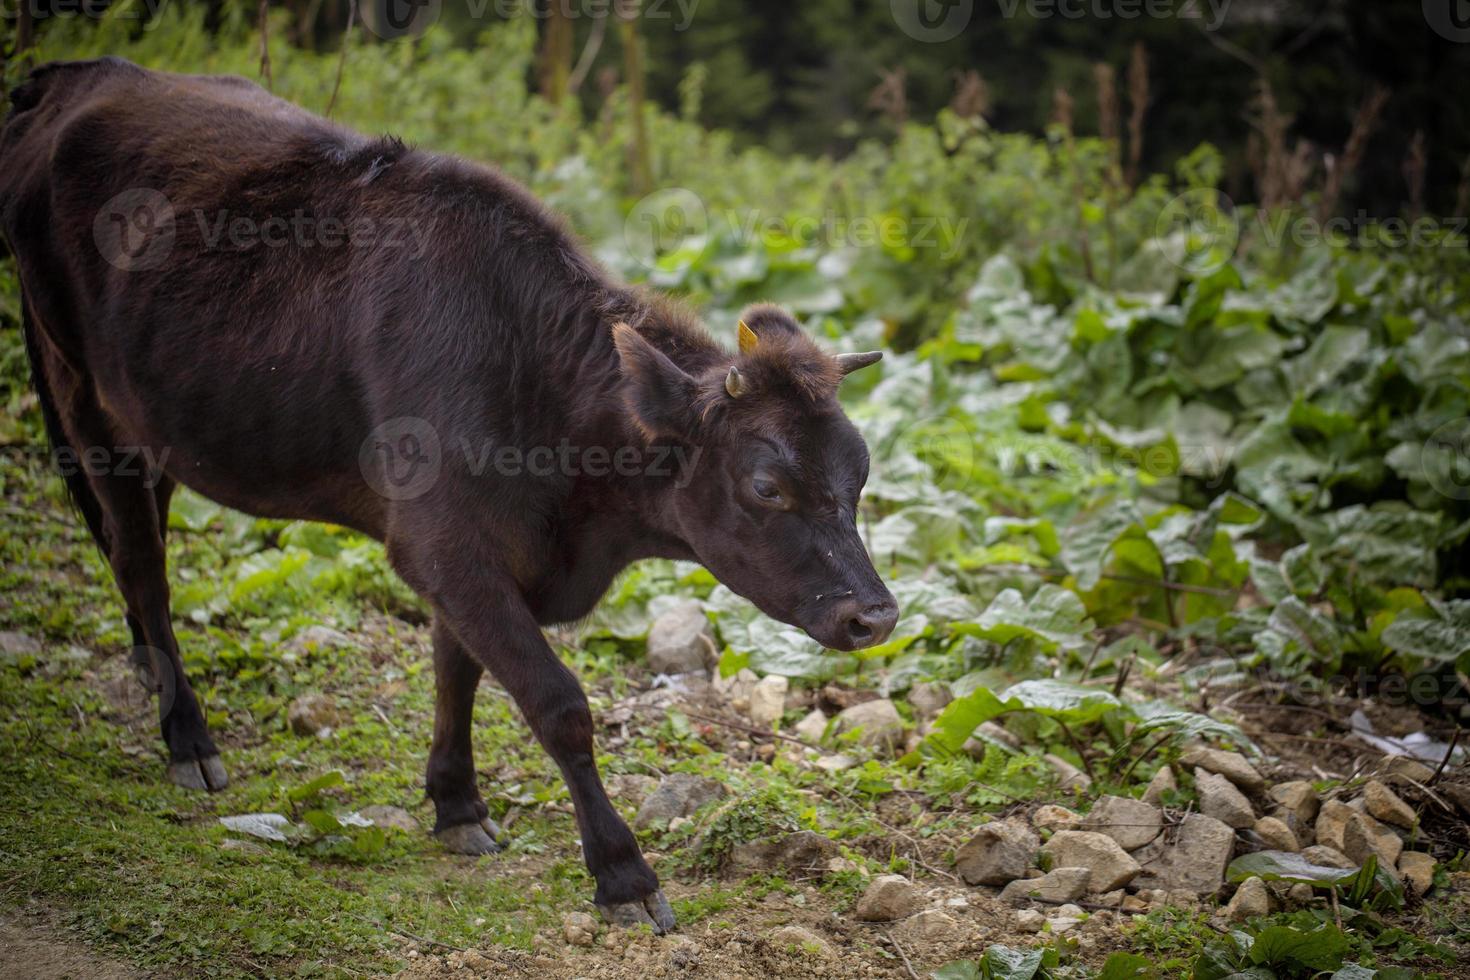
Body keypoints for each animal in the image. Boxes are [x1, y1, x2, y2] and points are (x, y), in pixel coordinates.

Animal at [0, 57, 893, 934]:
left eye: (860, 470)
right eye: (767, 485)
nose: (876, 616)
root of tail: (78, 75)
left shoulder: (466, 555)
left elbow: (454, 671)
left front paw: (457, 804)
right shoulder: (445, 544)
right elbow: (557, 703)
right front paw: (622, 873)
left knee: (138, 536)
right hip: (83, 394)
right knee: (141, 559)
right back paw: (187, 737)